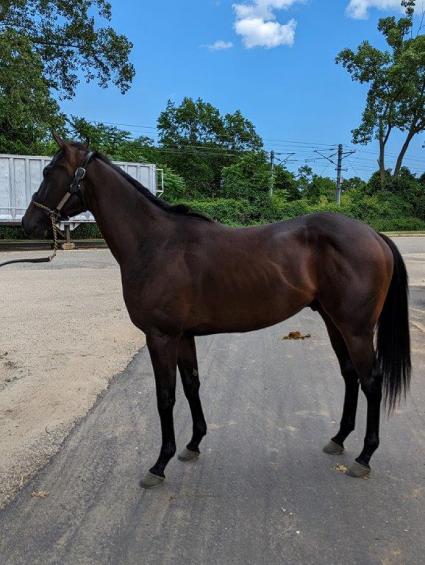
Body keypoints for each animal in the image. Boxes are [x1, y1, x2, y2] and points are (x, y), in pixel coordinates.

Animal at [21, 137, 410, 484]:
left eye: (49, 171)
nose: (28, 223)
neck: (155, 243)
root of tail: (374, 235)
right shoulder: (182, 336)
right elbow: (192, 385)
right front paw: (192, 444)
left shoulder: (160, 337)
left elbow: (165, 397)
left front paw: (159, 465)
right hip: (334, 322)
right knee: (350, 375)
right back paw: (338, 439)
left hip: (356, 329)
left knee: (371, 381)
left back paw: (364, 456)